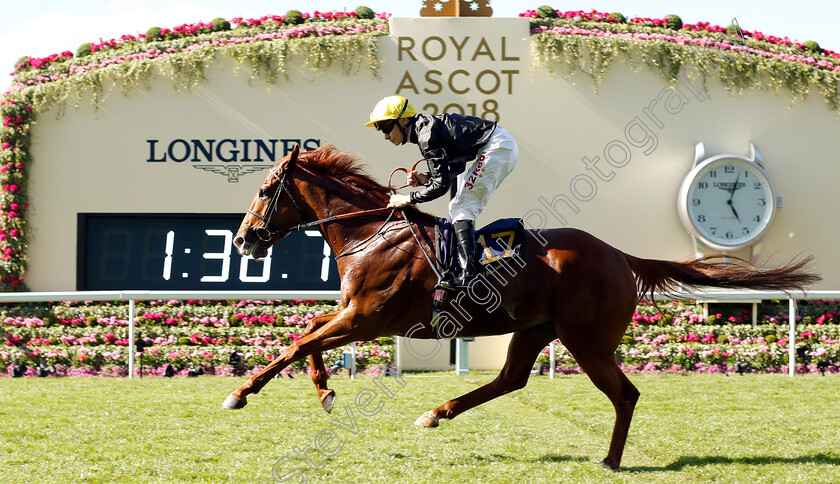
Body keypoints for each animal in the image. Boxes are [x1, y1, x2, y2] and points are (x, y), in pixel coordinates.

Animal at [226, 145, 816, 468]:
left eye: (266, 189)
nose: (243, 239)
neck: (372, 233)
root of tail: (619, 254)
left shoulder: (367, 320)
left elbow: (298, 342)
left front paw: (241, 393)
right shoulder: (352, 316)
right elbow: (308, 331)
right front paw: (325, 391)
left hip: (588, 341)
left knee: (624, 394)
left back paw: (611, 459)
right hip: (535, 328)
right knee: (510, 379)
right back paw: (436, 413)